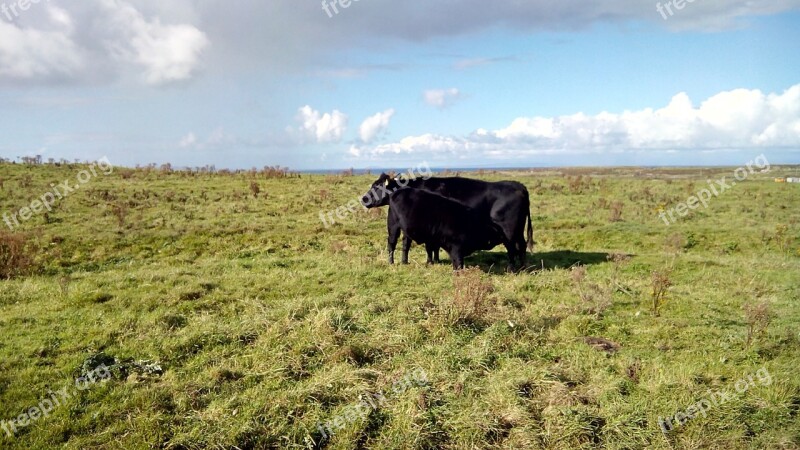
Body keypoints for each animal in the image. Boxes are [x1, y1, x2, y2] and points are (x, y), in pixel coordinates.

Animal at [360, 174, 536, 268]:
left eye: (377, 187)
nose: (363, 199)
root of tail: (519, 186)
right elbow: (410, 244)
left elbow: (428, 246)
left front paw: (430, 261)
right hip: (517, 230)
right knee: (521, 246)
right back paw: (522, 266)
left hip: (509, 230)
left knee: (513, 248)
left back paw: (514, 267)